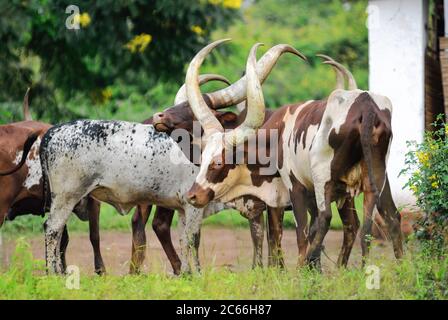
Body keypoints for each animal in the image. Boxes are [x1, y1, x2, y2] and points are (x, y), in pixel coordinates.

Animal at [184, 40, 404, 270]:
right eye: (202, 159)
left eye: (218, 163)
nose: (192, 196)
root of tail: (365, 103)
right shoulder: (279, 200)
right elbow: (275, 237)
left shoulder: (295, 188)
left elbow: (299, 234)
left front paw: (302, 269)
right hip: (376, 177)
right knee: (383, 218)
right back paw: (387, 268)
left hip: (324, 178)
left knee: (328, 218)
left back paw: (308, 266)